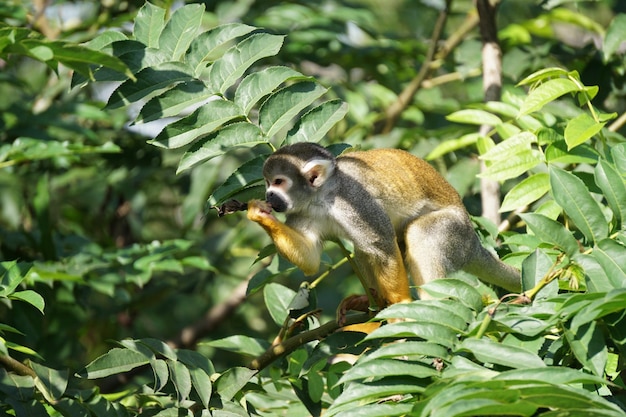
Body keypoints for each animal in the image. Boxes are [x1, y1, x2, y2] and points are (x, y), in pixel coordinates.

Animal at [246, 141, 520, 316]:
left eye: (279, 182)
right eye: (268, 183)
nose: (269, 196)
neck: (321, 198)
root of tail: (474, 243)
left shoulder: (354, 201)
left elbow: (382, 245)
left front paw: (401, 303)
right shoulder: (301, 211)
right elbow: (311, 259)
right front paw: (258, 213)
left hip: (456, 232)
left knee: (419, 234)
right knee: (363, 247)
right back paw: (371, 298)